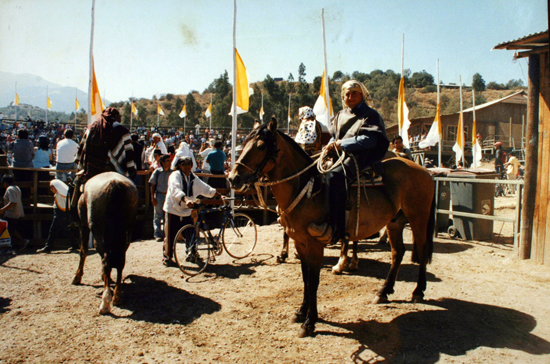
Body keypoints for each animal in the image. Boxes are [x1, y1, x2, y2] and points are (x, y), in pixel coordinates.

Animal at [71, 172, 139, 314]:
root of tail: (114, 184)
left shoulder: (83, 225)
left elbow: (83, 251)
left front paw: (77, 277)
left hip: (98, 231)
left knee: (106, 261)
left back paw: (106, 301)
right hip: (127, 231)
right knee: (120, 260)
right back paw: (117, 295)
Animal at [229, 118, 436, 336]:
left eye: (261, 146)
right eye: (244, 144)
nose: (233, 178)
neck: (308, 189)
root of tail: (424, 171)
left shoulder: (314, 245)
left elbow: (313, 281)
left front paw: (310, 322)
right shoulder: (300, 243)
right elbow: (305, 278)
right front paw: (301, 312)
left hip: (418, 218)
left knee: (422, 250)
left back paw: (418, 291)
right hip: (395, 222)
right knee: (398, 252)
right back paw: (383, 291)